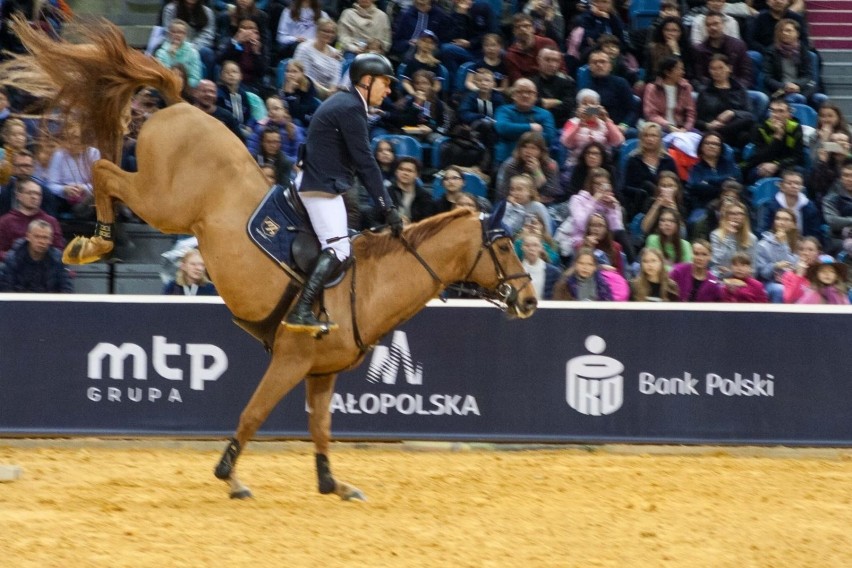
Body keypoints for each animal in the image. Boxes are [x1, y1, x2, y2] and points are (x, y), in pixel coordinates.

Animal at [5, 17, 540, 500]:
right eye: (504, 246)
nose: (530, 300)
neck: (368, 284)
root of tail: (183, 104)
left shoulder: (322, 373)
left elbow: (322, 429)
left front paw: (331, 483)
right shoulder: (290, 359)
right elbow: (253, 414)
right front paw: (230, 476)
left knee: (105, 171)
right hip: (165, 204)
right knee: (104, 172)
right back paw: (92, 243)